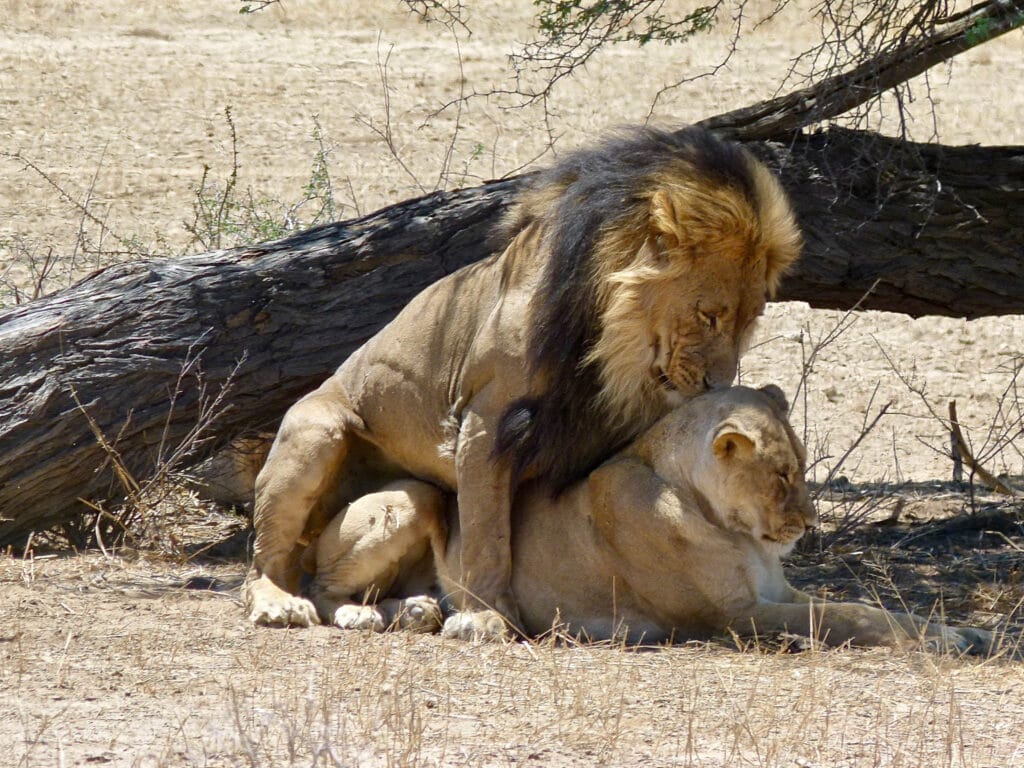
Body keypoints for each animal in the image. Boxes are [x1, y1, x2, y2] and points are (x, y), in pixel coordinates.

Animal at [243, 126, 803, 638]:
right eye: (709, 315)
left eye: (751, 319)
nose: (716, 383)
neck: (611, 353)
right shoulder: (486, 420)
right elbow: (488, 534)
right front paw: (487, 616)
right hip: (316, 435)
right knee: (270, 560)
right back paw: (282, 604)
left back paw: (413, 609)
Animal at [308, 385, 994, 654]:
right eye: (781, 475)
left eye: (801, 466)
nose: (807, 526)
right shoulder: (733, 616)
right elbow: (847, 616)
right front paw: (949, 640)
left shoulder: (777, 592)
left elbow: (874, 608)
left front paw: (965, 632)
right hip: (412, 498)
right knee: (320, 589)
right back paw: (368, 614)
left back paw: (422, 610)